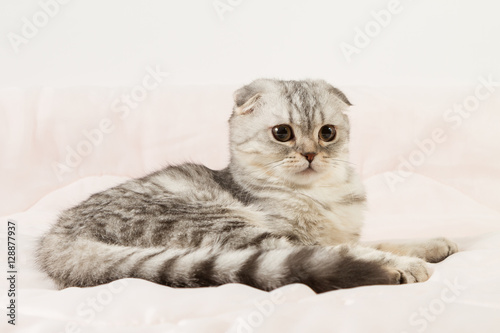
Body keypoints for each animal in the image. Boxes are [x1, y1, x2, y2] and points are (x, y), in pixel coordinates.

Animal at [36, 79, 458, 292]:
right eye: (282, 133)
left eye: (328, 133)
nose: (310, 154)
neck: (321, 193)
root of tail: (58, 242)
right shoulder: (302, 238)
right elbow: (360, 249)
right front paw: (412, 261)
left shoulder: (341, 233)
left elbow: (382, 239)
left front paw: (435, 244)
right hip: (225, 223)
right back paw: (396, 269)